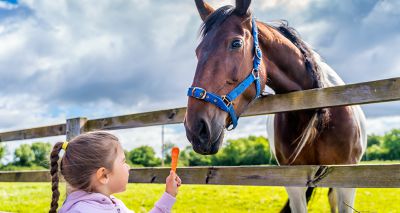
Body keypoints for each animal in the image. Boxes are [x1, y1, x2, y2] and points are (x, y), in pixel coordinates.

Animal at [183, 0, 368, 213]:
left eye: (236, 43)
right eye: (198, 51)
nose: (196, 129)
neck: (318, 112)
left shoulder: (347, 179)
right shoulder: (293, 181)